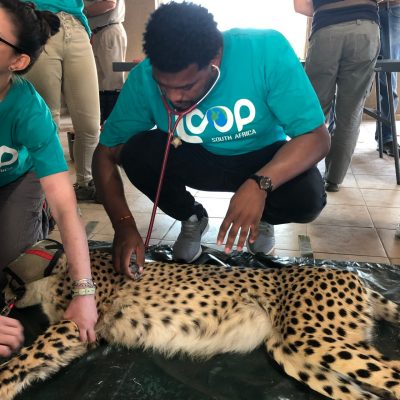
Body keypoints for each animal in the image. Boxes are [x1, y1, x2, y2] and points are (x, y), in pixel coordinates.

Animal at [0, 248, 398, 398]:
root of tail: (353, 273)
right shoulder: (82, 338)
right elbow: (32, 365)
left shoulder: (73, 325)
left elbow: (20, 361)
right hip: (291, 353)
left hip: (312, 338)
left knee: (392, 373)